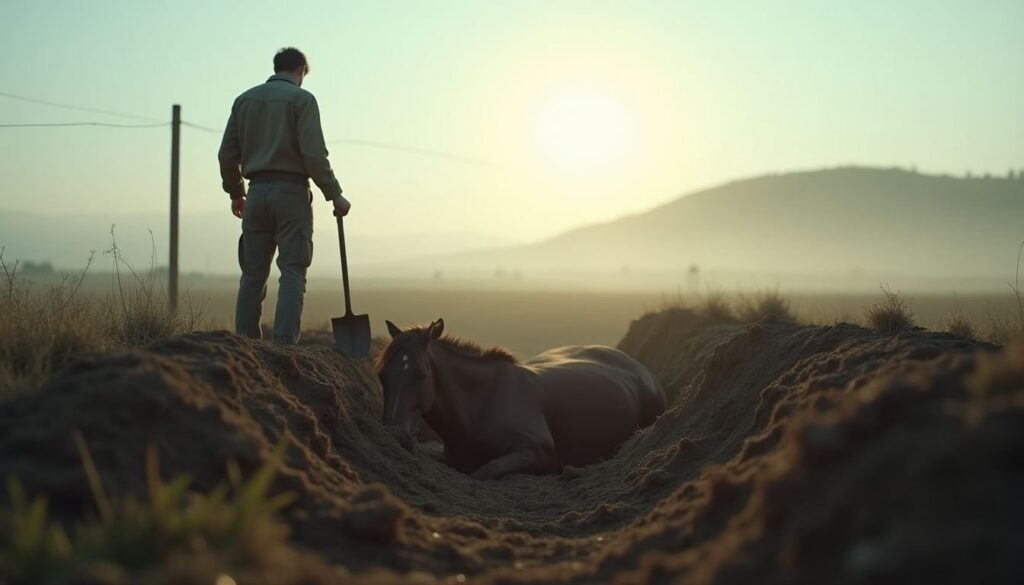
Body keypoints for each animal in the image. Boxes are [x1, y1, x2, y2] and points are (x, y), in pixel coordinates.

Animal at [374, 319, 666, 479]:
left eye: (421, 375)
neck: (482, 403)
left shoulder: (537, 452)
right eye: (381, 375)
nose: (394, 432)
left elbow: (484, 472)